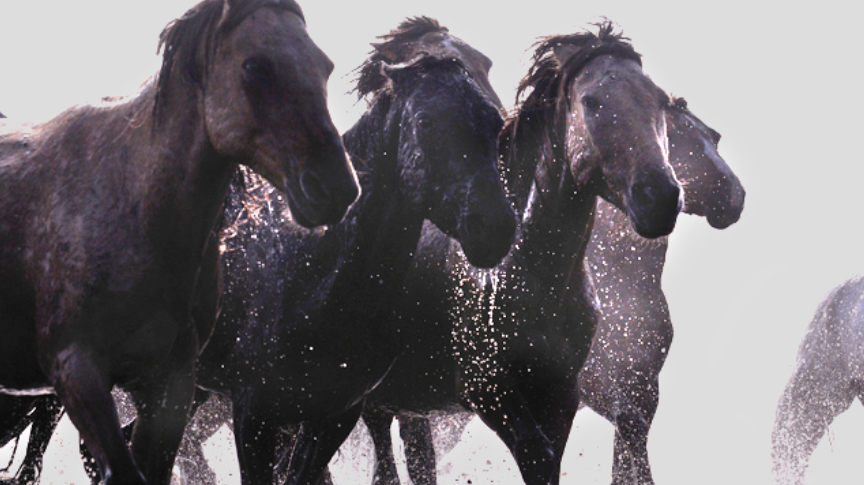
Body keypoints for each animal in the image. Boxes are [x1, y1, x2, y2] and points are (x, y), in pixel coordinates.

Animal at [0, 0, 359, 482]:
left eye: (325, 65)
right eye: (255, 67)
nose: (336, 187)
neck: (134, 202)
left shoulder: (169, 383)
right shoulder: (77, 371)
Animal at [359, 21, 682, 485]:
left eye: (659, 100)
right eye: (591, 100)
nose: (660, 197)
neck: (527, 266)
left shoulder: (560, 393)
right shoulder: (487, 389)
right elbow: (538, 457)